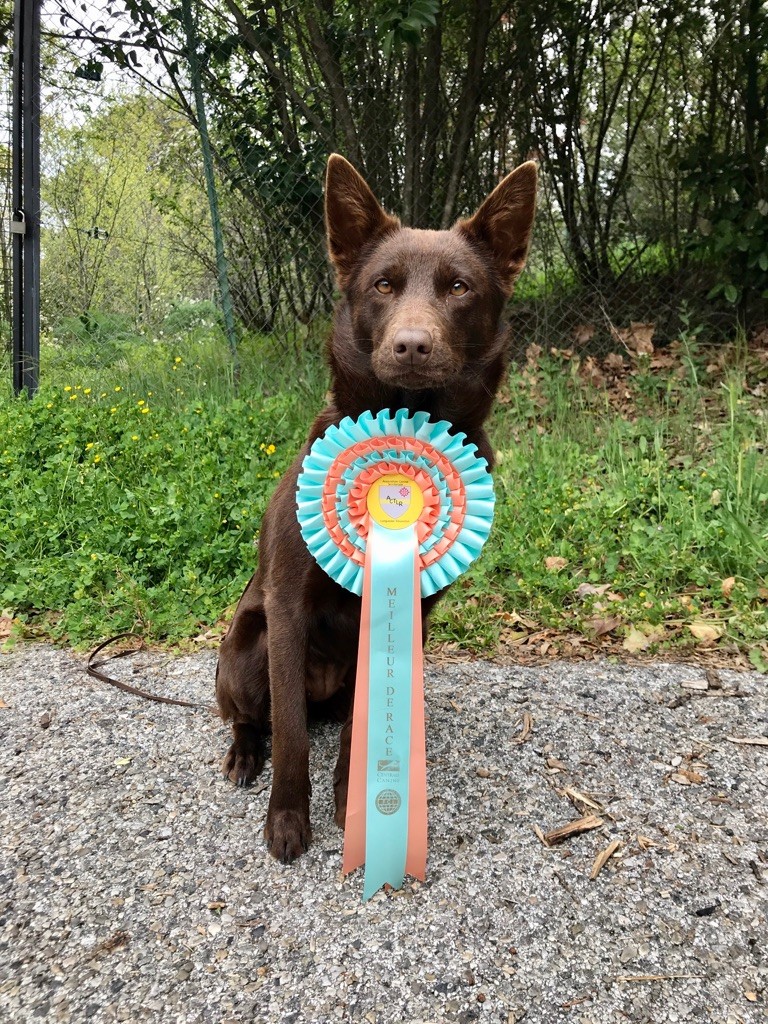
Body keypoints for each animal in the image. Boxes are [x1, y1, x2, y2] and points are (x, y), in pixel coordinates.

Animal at [214, 151, 536, 860]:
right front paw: (288, 819)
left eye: (459, 288)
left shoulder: (410, 612)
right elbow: (292, 735)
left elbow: (363, 719)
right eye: (384, 286)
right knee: (255, 717)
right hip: (245, 649)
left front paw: (353, 803)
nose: (412, 344)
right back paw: (244, 754)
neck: (405, 429)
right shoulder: (287, 604)